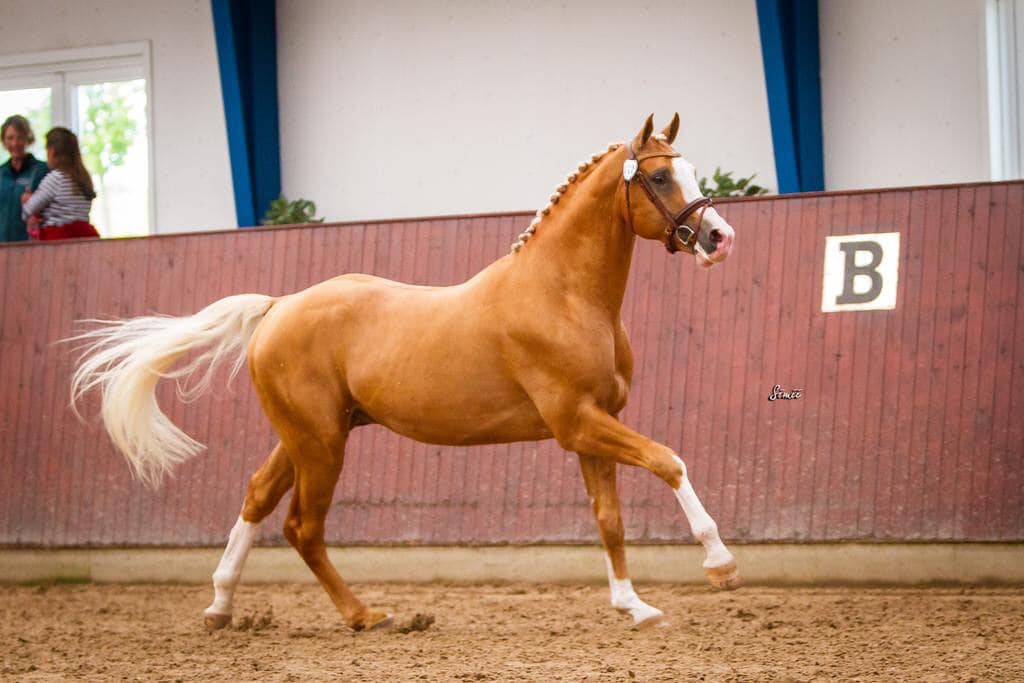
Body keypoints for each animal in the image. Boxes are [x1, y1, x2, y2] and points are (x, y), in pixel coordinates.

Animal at [75, 114, 741, 634]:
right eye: (660, 176)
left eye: (691, 170)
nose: (719, 238)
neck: (563, 295)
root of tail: (277, 307)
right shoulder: (578, 423)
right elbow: (669, 461)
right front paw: (720, 565)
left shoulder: (593, 429)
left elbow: (610, 519)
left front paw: (634, 606)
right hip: (321, 443)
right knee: (303, 527)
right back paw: (365, 616)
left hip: (310, 436)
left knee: (258, 497)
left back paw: (220, 607)